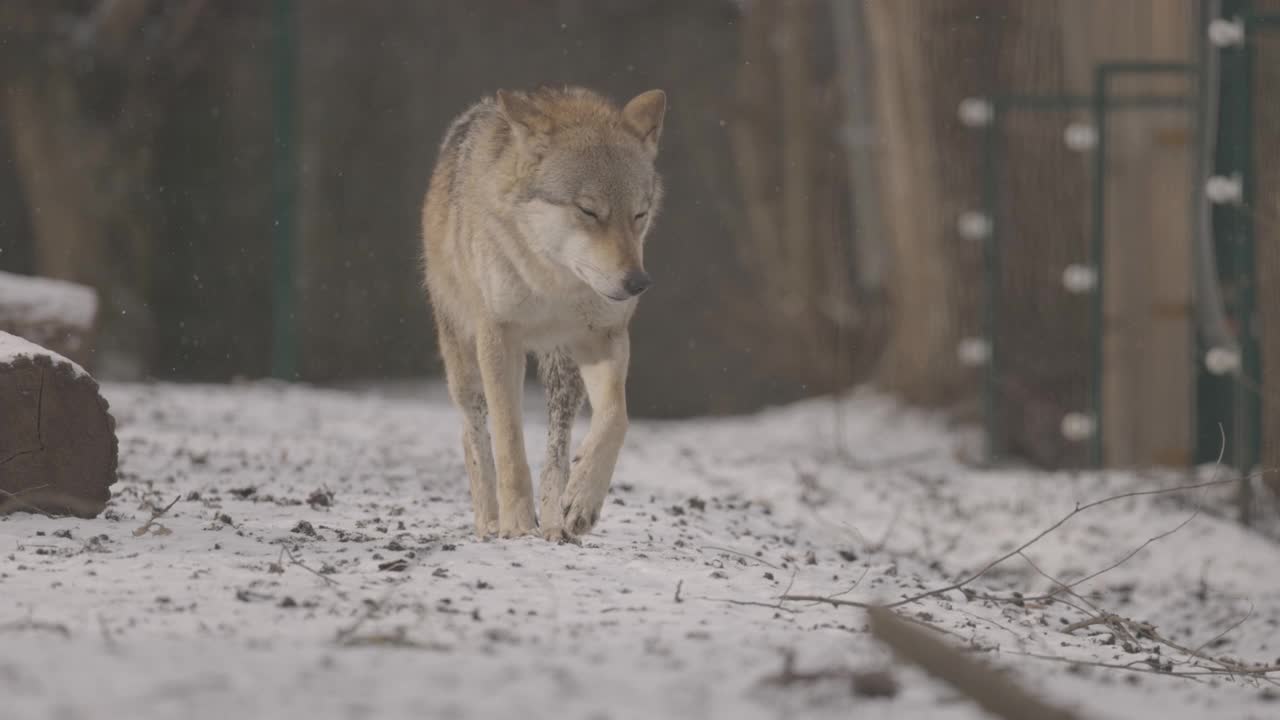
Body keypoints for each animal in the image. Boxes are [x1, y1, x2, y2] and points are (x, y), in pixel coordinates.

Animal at [422, 87, 665, 538]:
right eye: (589, 211)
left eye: (639, 214)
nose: (638, 283)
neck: (555, 284)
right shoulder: (499, 337)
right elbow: (508, 440)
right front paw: (517, 525)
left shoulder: (603, 337)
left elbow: (616, 418)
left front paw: (582, 501)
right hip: (463, 364)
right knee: (473, 436)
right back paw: (489, 522)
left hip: (563, 375)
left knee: (558, 447)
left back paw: (555, 523)